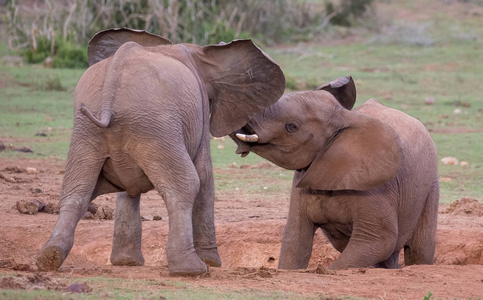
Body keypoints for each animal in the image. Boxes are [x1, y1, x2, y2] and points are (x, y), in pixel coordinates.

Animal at [37, 27, 288, 276]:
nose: (243, 149)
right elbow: (204, 176)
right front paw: (212, 262)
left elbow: (127, 192)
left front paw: (127, 263)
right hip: (156, 125)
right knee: (186, 185)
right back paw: (192, 269)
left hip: (89, 130)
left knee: (76, 190)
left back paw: (49, 257)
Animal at [233, 77, 440, 270]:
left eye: (291, 126)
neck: (344, 117)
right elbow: (295, 240)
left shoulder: (376, 183)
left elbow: (379, 240)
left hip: (430, 185)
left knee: (418, 249)